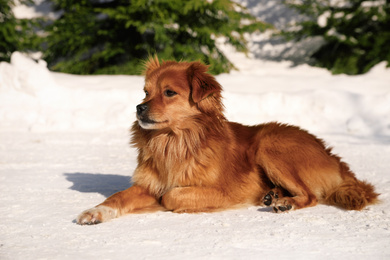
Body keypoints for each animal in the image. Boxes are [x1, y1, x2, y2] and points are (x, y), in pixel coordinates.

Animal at [76, 56, 378, 223]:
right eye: (145, 92)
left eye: (169, 92)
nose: (139, 108)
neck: (175, 142)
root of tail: (334, 157)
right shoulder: (149, 183)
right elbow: (117, 196)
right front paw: (95, 212)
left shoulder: (225, 191)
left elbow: (171, 195)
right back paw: (273, 195)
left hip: (270, 144)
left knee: (312, 195)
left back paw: (285, 201)